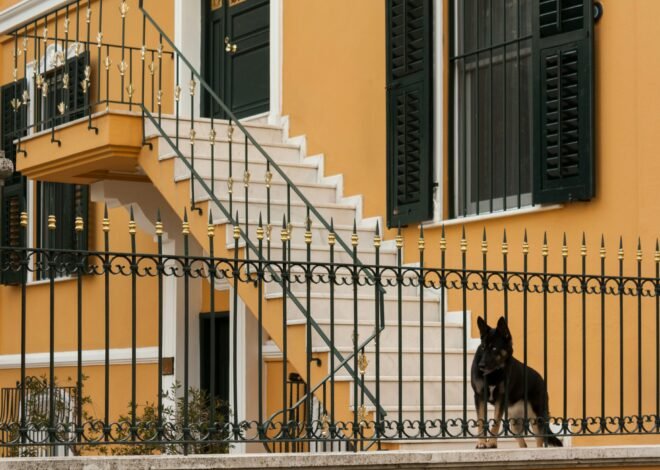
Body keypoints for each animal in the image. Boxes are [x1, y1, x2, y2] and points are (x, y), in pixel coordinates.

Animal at [470, 316, 564, 448]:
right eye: (483, 347)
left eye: (494, 348)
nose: (481, 366)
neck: (494, 373)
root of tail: (541, 380)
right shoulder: (479, 397)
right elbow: (481, 422)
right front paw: (481, 443)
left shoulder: (500, 399)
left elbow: (496, 423)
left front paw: (492, 443)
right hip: (514, 425)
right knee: (523, 445)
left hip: (537, 419)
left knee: (539, 441)